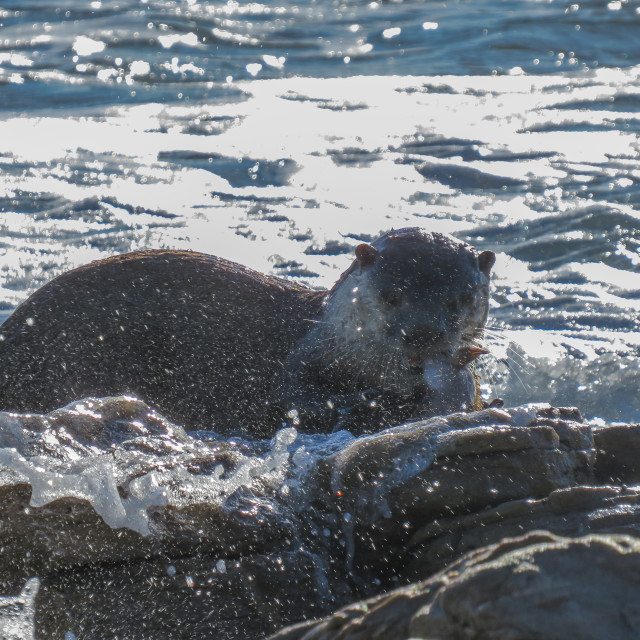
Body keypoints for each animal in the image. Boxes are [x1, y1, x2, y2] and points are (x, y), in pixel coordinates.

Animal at [0, 228, 496, 438]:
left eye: (459, 300)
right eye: (392, 296)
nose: (423, 334)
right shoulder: (302, 357)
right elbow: (290, 399)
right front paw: (365, 403)